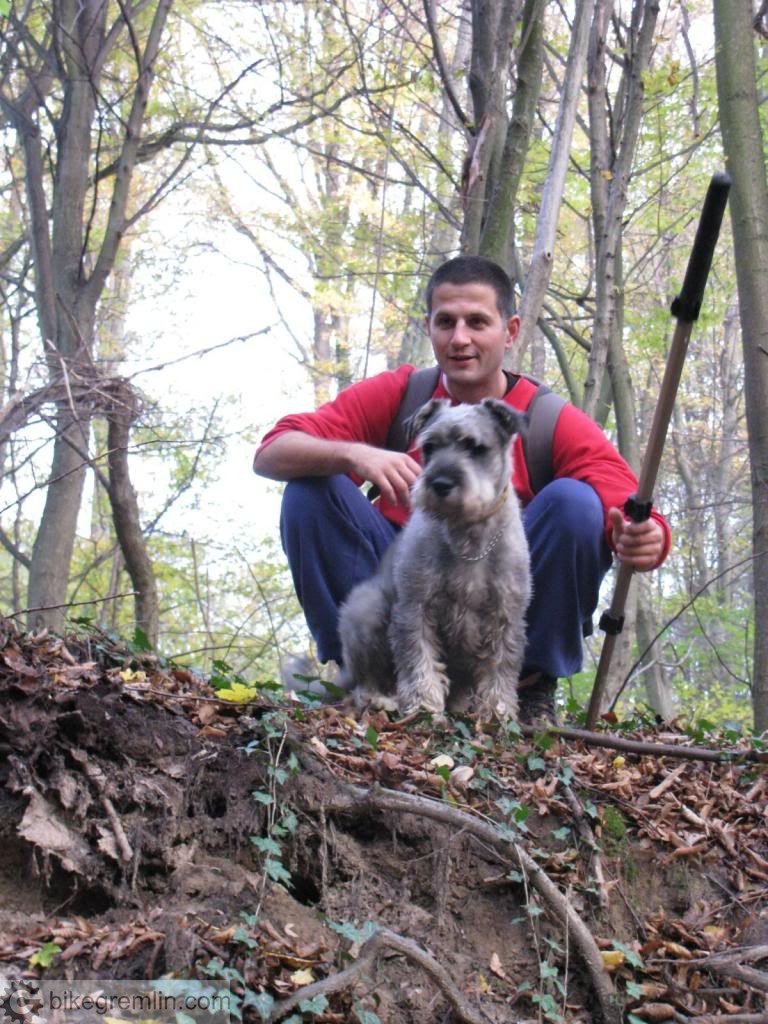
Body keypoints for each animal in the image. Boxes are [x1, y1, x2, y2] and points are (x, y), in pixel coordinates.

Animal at [339, 393, 532, 720]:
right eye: (429, 446)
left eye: (475, 447)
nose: (440, 483)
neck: (468, 535)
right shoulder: (416, 607)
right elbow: (419, 658)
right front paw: (423, 705)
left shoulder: (506, 614)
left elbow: (501, 665)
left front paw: (498, 711)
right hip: (368, 610)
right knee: (365, 680)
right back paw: (380, 698)